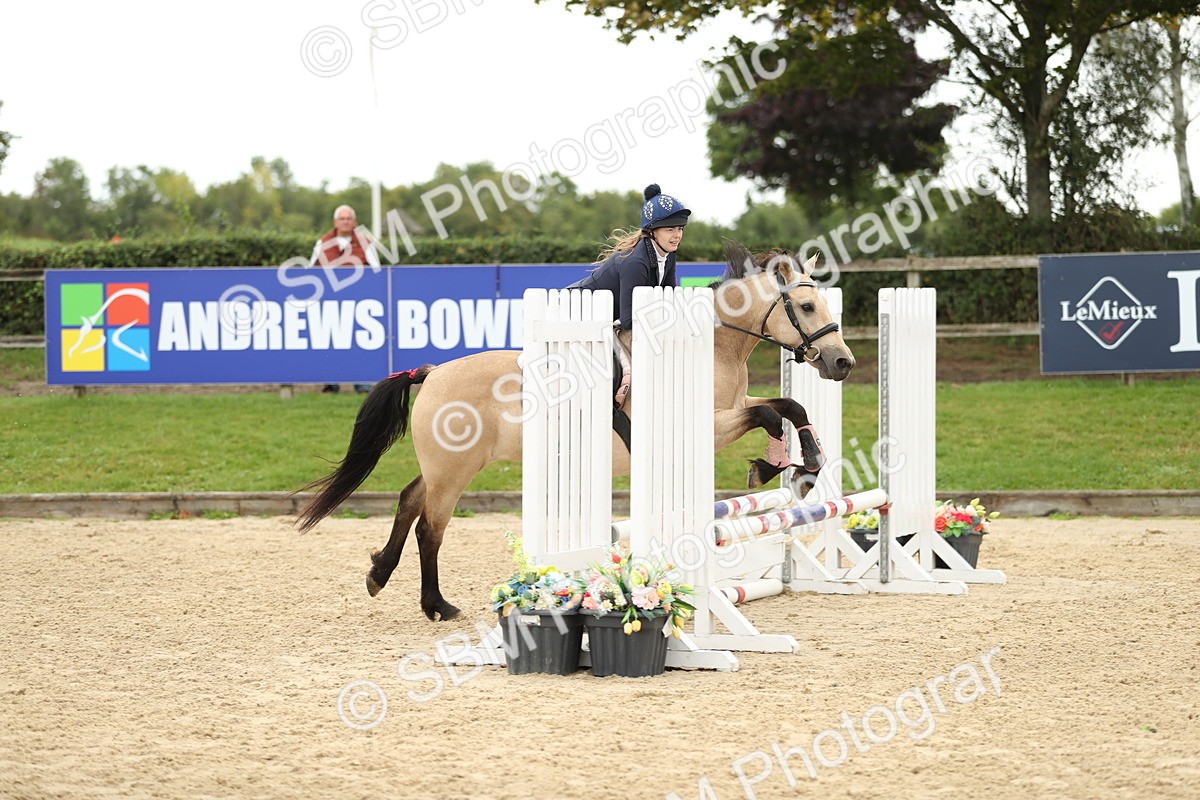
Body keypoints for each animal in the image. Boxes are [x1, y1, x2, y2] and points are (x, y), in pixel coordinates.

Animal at [297, 244, 856, 621]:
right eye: (807, 308)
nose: (842, 363)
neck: (714, 346)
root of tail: (430, 373)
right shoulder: (710, 425)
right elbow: (772, 416)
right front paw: (772, 466)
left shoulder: (732, 409)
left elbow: (788, 405)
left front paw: (807, 465)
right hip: (455, 469)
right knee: (430, 527)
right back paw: (438, 605)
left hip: (446, 466)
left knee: (410, 499)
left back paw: (379, 575)